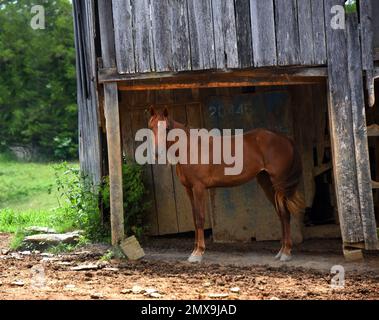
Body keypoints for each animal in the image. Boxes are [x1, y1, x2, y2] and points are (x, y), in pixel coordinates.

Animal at [148, 107, 306, 262]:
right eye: (150, 127)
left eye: (167, 128)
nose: (157, 153)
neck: (190, 149)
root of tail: (284, 139)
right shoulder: (189, 189)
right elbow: (194, 218)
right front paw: (194, 251)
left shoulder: (199, 188)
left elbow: (200, 218)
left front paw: (198, 253)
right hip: (267, 183)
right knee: (280, 214)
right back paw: (281, 251)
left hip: (279, 184)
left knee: (285, 214)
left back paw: (286, 252)